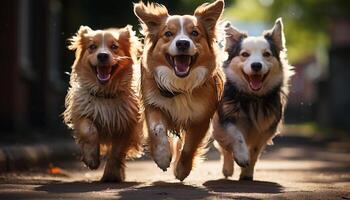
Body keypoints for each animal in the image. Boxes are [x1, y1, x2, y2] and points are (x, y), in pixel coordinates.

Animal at [63, 24, 143, 181]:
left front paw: (111, 174)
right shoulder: (82, 113)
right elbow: (89, 131)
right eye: (92, 47)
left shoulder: (127, 125)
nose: (102, 55)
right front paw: (92, 159)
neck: (105, 94)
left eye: (114, 46)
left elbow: (117, 151)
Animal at [134, 0, 224, 181]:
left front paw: (181, 169)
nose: (182, 43)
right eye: (168, 33)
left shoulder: (201, 118)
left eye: (195, 33)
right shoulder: (153, 104)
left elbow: (189, 146)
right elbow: (157, 129)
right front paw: (162, 156)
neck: (180, 86)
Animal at [212, 18, 294, 180]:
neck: (252, 98)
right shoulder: (226, 117)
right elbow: (235, 135)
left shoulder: (266, 128)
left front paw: (247, 172)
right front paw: (242, 157)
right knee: (225, 148)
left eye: (266, 54)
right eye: (245, 54)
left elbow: (255, 150)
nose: (256, 65)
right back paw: (228, 169)